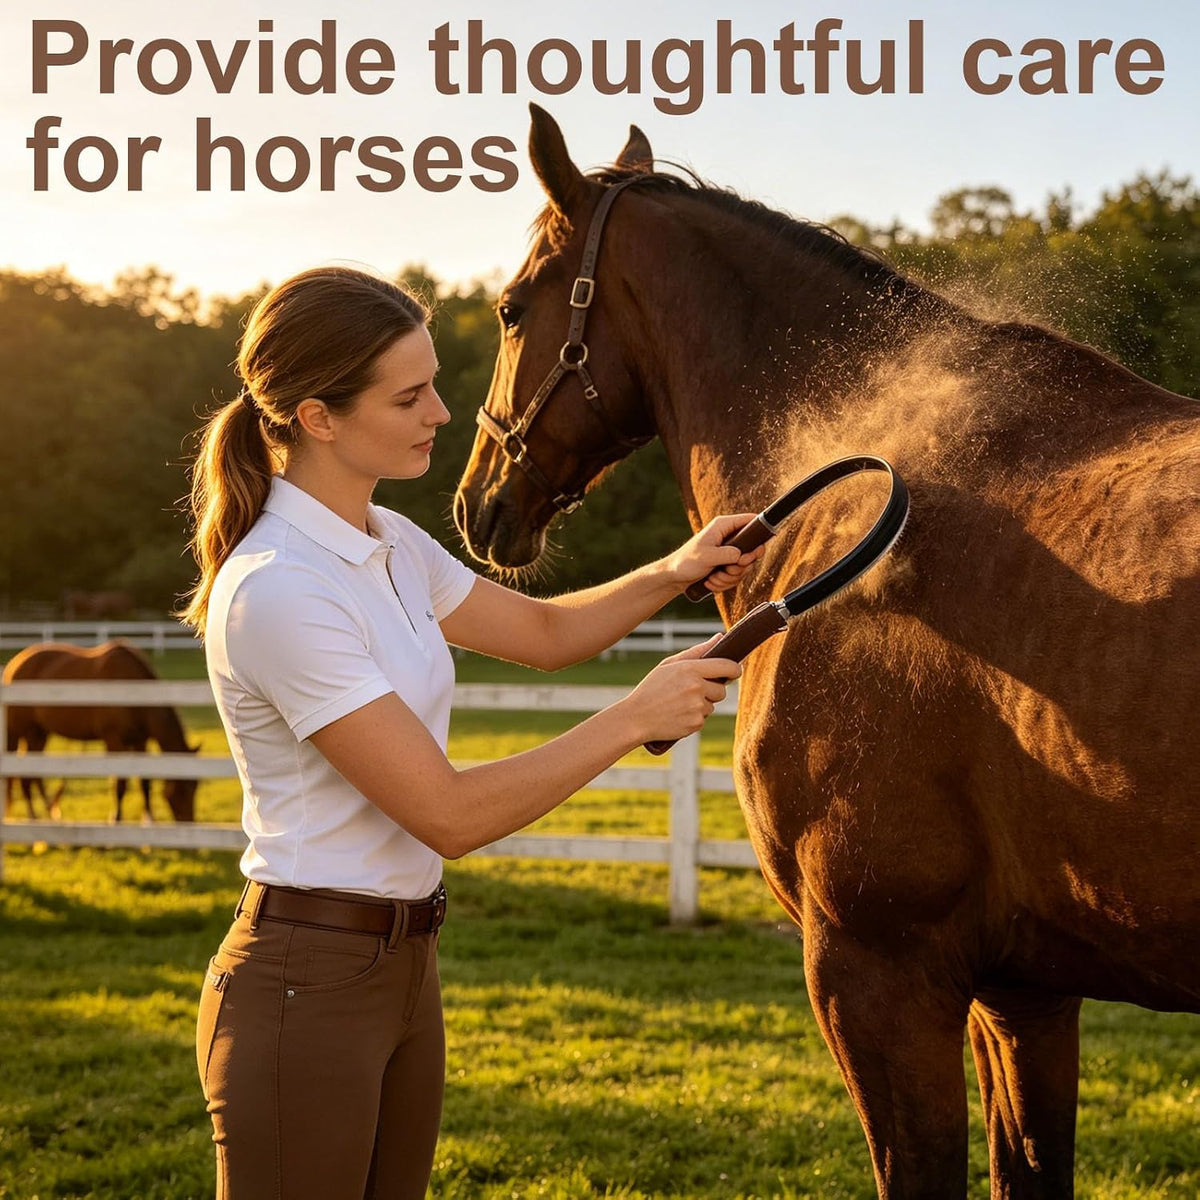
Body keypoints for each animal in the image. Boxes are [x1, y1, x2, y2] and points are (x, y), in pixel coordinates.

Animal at [2, 641, 199, 822]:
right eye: (181, 789)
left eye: (195, 786)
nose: (188, 823)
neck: (132, 692)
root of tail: (14, 665)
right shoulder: (113, 739)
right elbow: (120, 783)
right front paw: (116, 819)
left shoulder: (140, 741)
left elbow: (144, 781)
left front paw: (149, 821)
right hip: (21, 732)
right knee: (23, 777)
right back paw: (33, 816)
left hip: (39, 733)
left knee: (34, 774)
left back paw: (50, 813)